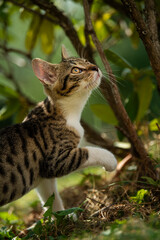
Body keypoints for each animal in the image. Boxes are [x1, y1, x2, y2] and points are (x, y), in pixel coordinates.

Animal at [0, 46, 116, 211]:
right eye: (76, 70)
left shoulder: (42, 177)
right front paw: (111, 160)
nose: (95, 67)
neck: (68, 113)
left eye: (86, 61)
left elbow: (52, 200)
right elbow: (87, 151)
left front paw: (64, 216)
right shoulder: (56, 160)